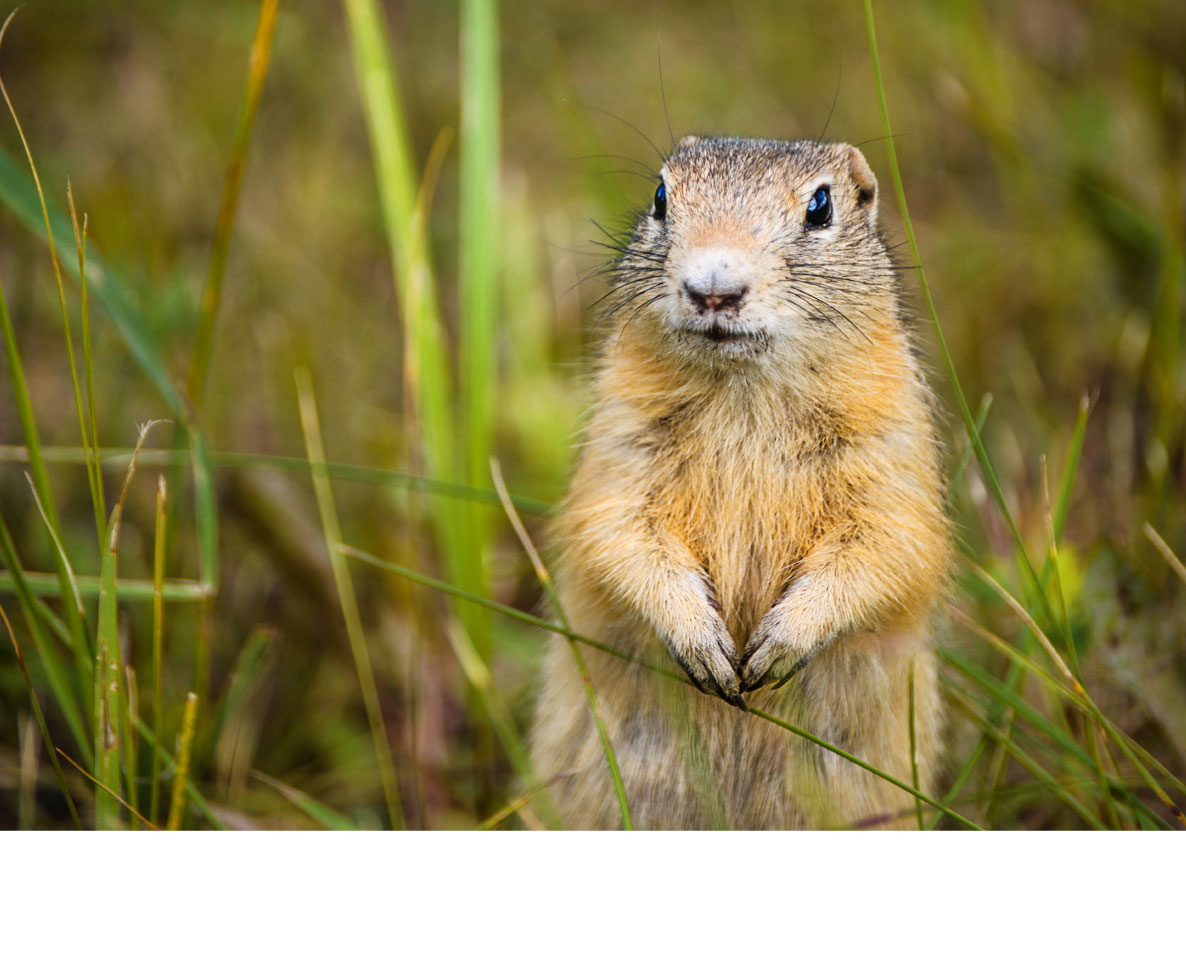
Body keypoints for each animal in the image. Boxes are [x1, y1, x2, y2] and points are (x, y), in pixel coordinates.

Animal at [533, 136, 948, 830]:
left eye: (820, 205)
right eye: (660, 197)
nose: (713, 289)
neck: (744, 392)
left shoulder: (893, 449)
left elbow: (887, 546)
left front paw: (775, 649)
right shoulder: (620, 444)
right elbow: (614, 531)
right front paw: (706, 649)